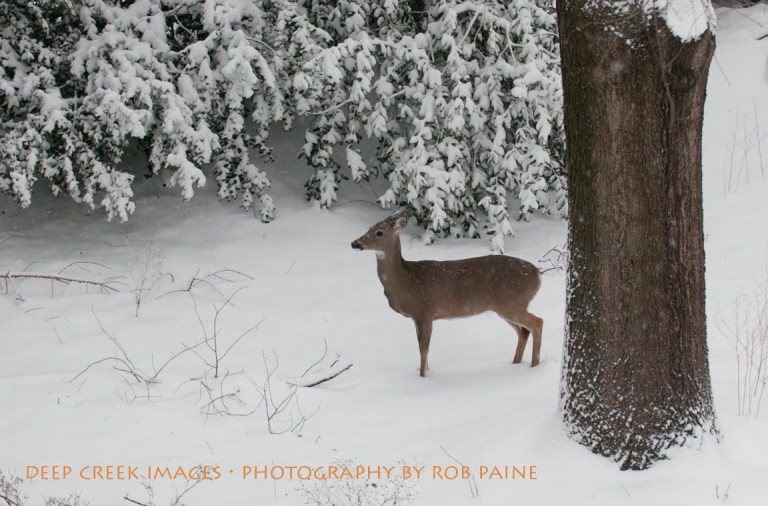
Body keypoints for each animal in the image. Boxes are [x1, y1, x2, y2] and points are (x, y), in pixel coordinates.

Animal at [351, 210, 543, 377]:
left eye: (379, 233)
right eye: (368, 229)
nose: (355, 243)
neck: (405, 281)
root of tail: (538, 274)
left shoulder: (425, 311)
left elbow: (423, 349)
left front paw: (422, 377)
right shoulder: (417, 317)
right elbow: (423, 348)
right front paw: (425, 372)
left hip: (512, 303)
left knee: (537, 323)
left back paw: (534, 366)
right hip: (506, 306)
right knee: (523, 332)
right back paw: (516, 364)